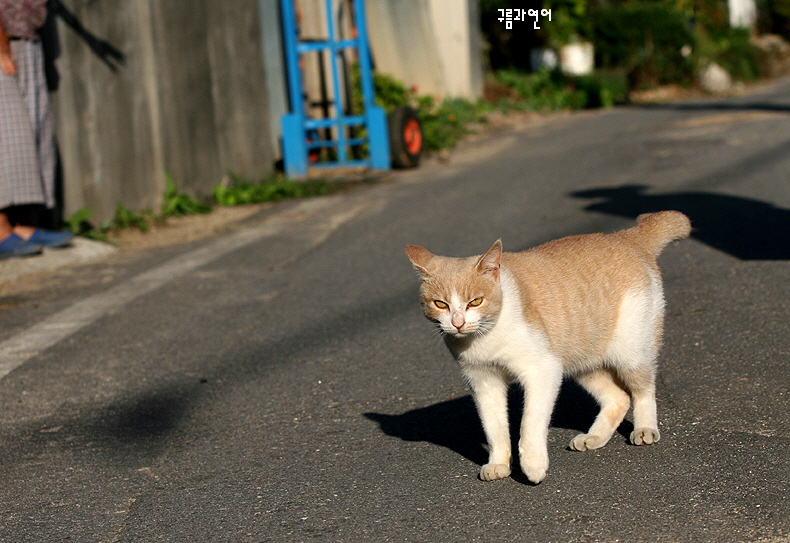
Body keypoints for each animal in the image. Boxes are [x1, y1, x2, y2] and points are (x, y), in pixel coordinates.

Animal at [408, 212, 692, 484]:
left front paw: (532, 465)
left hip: (631, 353)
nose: (457, 323)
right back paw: (594, 437)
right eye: (440, 304)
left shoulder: (542, 370)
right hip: (581, 361)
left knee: (643, 389)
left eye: (475, 301)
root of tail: (626, 236)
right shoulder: (484, 382)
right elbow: (494, 428)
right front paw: (499, 464)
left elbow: (529, 423)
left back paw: (645, 429)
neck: (484, 337)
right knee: (618, 397)